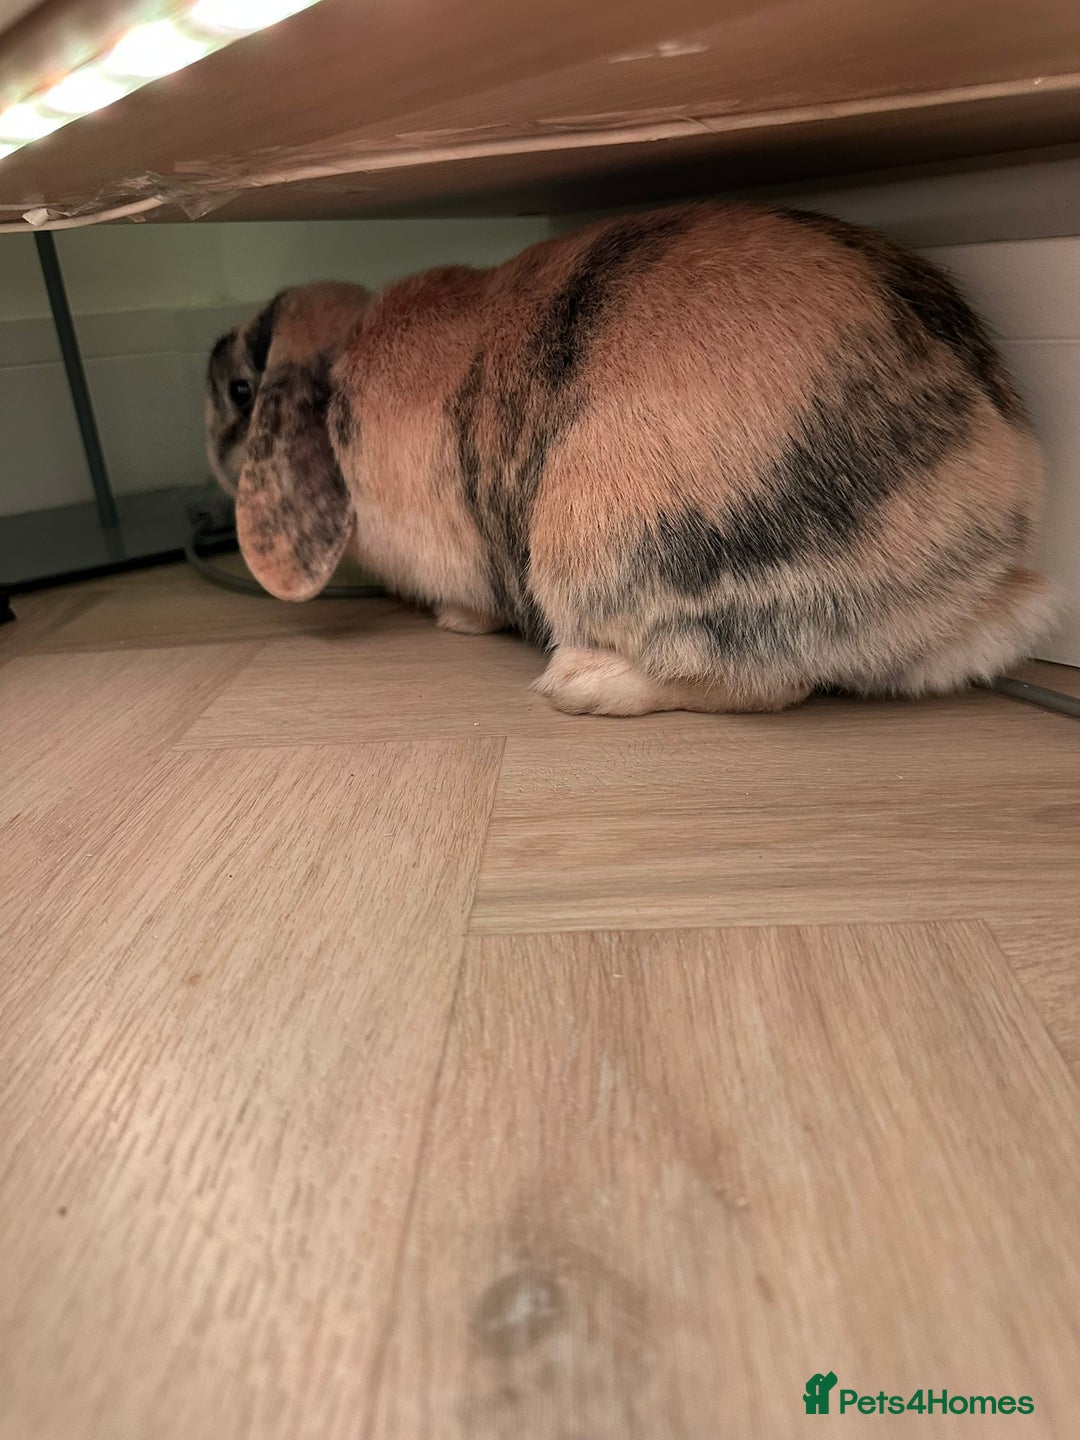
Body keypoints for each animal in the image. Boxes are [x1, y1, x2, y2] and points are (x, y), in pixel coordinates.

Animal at [205, 203, 1053, 715]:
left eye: (242, 388)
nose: (209, 357)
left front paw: (457, 622)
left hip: (602, 540)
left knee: (761, 683)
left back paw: (580, 683)